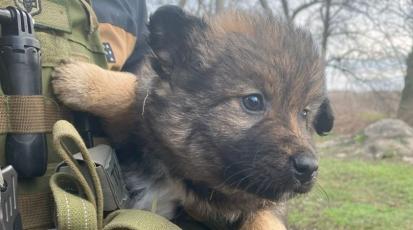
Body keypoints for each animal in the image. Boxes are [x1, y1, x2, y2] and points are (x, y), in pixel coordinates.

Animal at [53, 5, 334, 230]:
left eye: (305, 113)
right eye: (253, 101)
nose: (309, 168)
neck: (190, 177)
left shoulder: (264, 203)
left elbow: (266, 218)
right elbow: (130, 94)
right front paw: (81, 78)